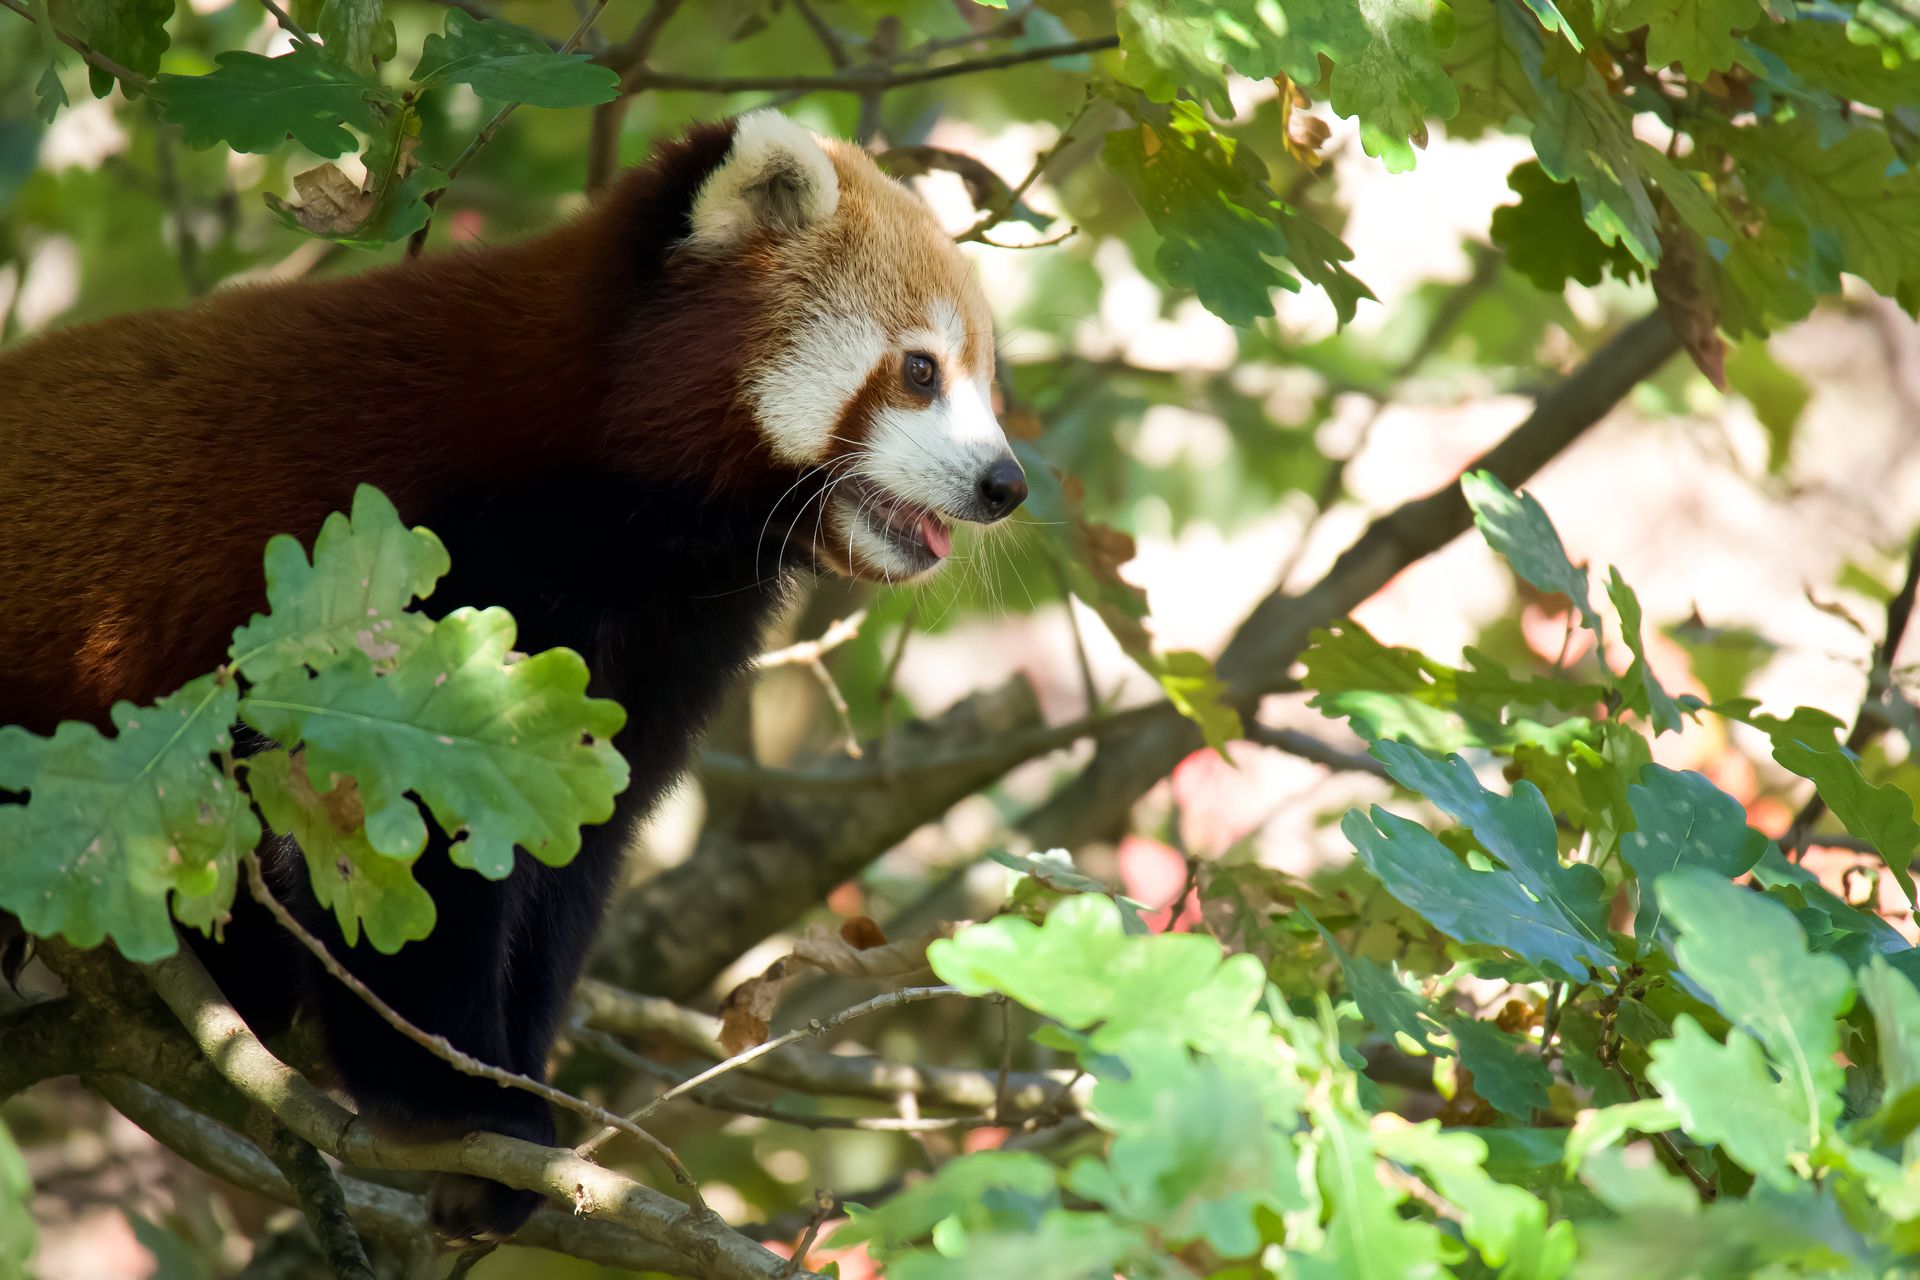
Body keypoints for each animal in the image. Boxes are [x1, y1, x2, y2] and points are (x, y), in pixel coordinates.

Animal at [0, 110, 1027, 1243]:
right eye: (921, 372)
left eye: (986, 380)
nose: (1007, 483)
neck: (616, 495)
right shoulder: (418, 560)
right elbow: (378, 831)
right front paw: (451, 1101)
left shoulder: (656, 643)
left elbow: (565, 846)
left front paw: (516, 1104)